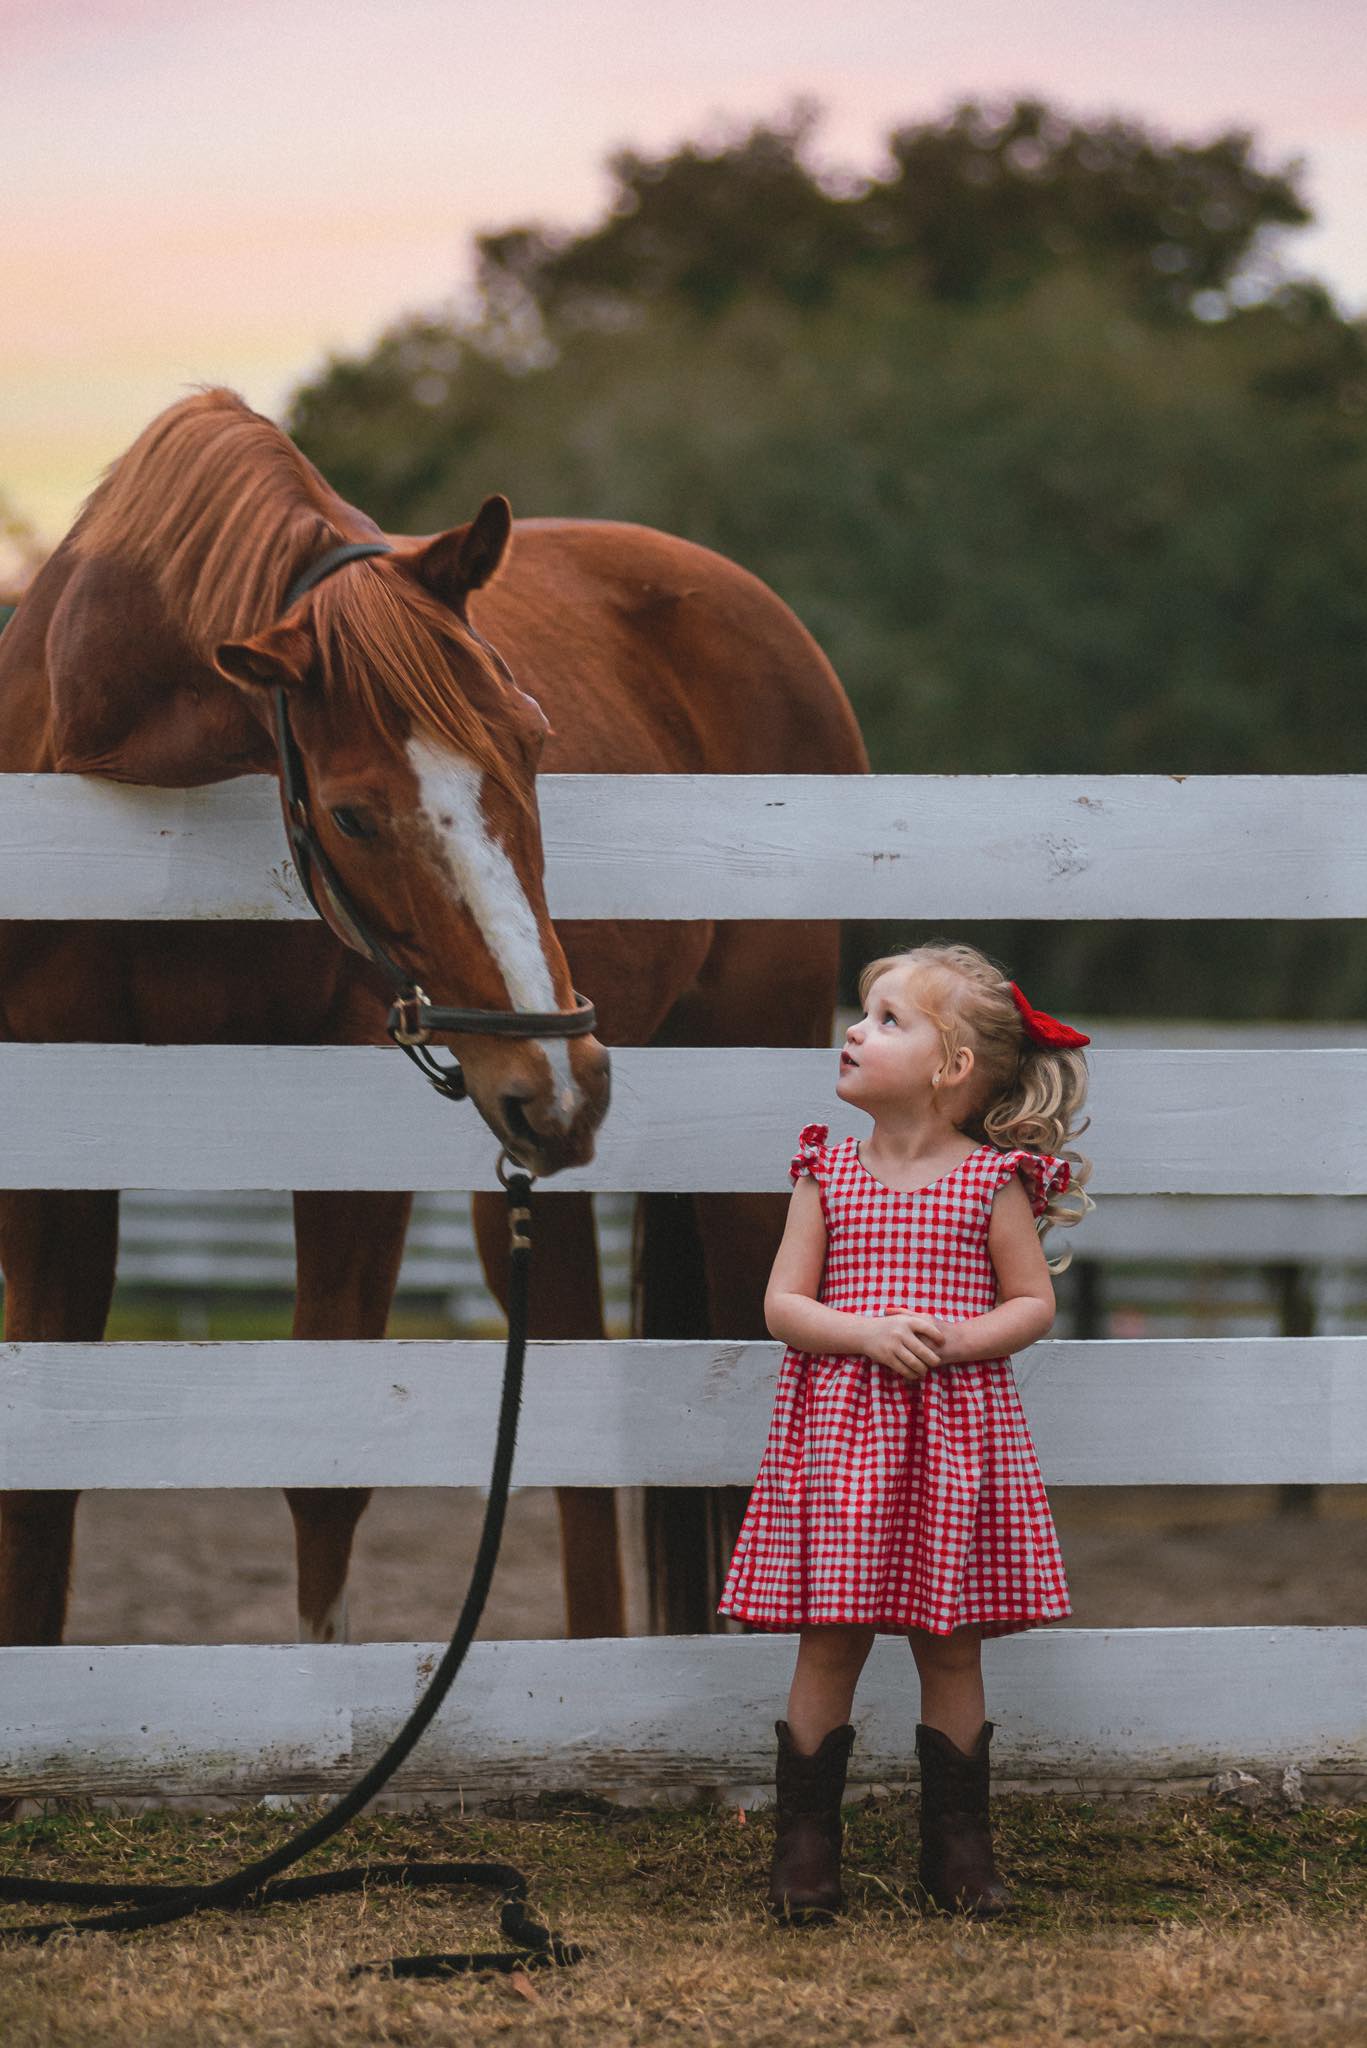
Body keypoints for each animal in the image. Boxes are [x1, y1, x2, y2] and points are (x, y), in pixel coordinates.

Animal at [2, 391, 864, 1654]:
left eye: (535, 742)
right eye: (354, 814)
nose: (564, 1071)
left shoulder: (350, 1141)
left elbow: (328, 1471)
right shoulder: (57, 1132)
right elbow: (42, 1477)